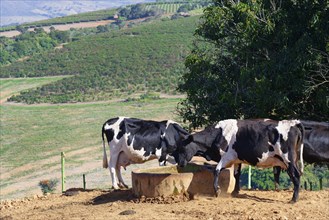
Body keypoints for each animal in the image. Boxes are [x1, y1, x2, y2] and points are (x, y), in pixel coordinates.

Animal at [173, 119, 304, 204]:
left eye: (182, 148)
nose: (180, 163)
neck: (219, 134)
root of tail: (293, 123)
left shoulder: (227, 157)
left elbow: (216, 171)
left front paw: (217, 191)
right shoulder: (237, 159)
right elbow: (236, 175)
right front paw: (235, 192)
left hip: (288, 158)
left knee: (296, 175)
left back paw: (294, 199)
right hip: (292, 160)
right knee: (295, 175)